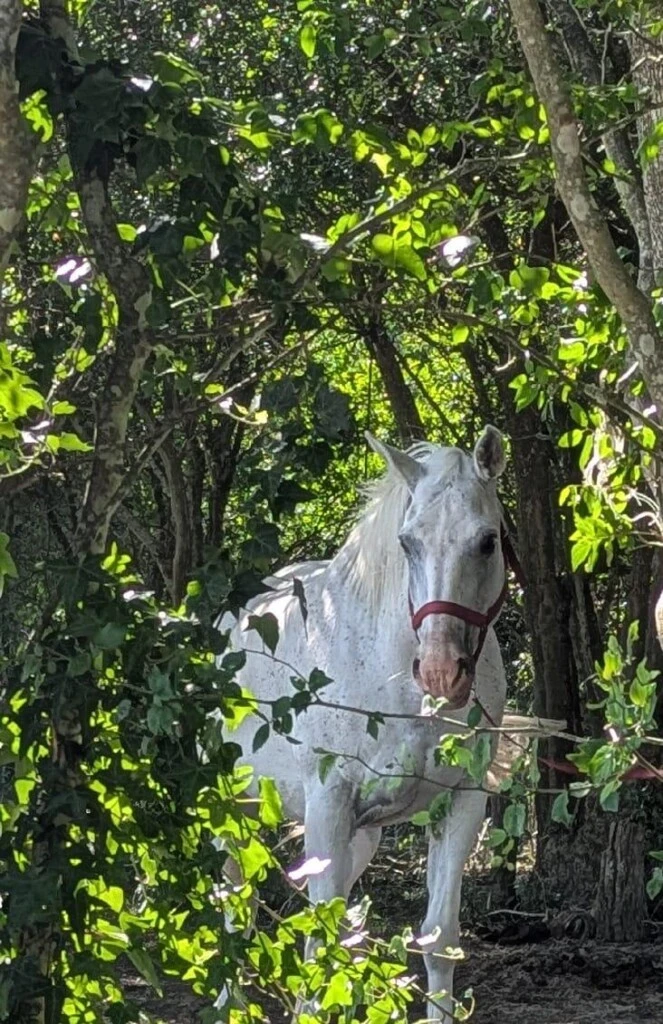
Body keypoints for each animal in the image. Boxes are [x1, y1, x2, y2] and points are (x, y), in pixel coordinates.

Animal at [218, 425, 513, 1020]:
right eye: (407, 544)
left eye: (487, 541)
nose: (441, 671)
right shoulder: (329, 804)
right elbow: (323, 941)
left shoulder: (462, 803)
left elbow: (438, 940)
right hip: (236, 810)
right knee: (237, 901)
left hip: (361, 835)